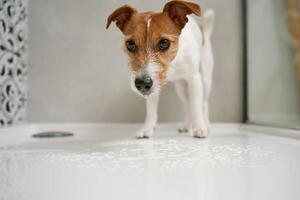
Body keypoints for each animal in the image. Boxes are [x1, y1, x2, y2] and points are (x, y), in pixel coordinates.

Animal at [106, 0, 214, 138]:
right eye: (130, 44)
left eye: (164, 43)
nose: (142, 83)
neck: (173, 62)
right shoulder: (154, 86)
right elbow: (151, 111)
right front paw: (147, 129)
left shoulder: (194, 79)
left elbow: (196, 106)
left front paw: (199, 128)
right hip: (181, 86)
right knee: (186, 103)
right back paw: (186, 125)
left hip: (205, 79)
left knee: (203, 103)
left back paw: (206, 124)